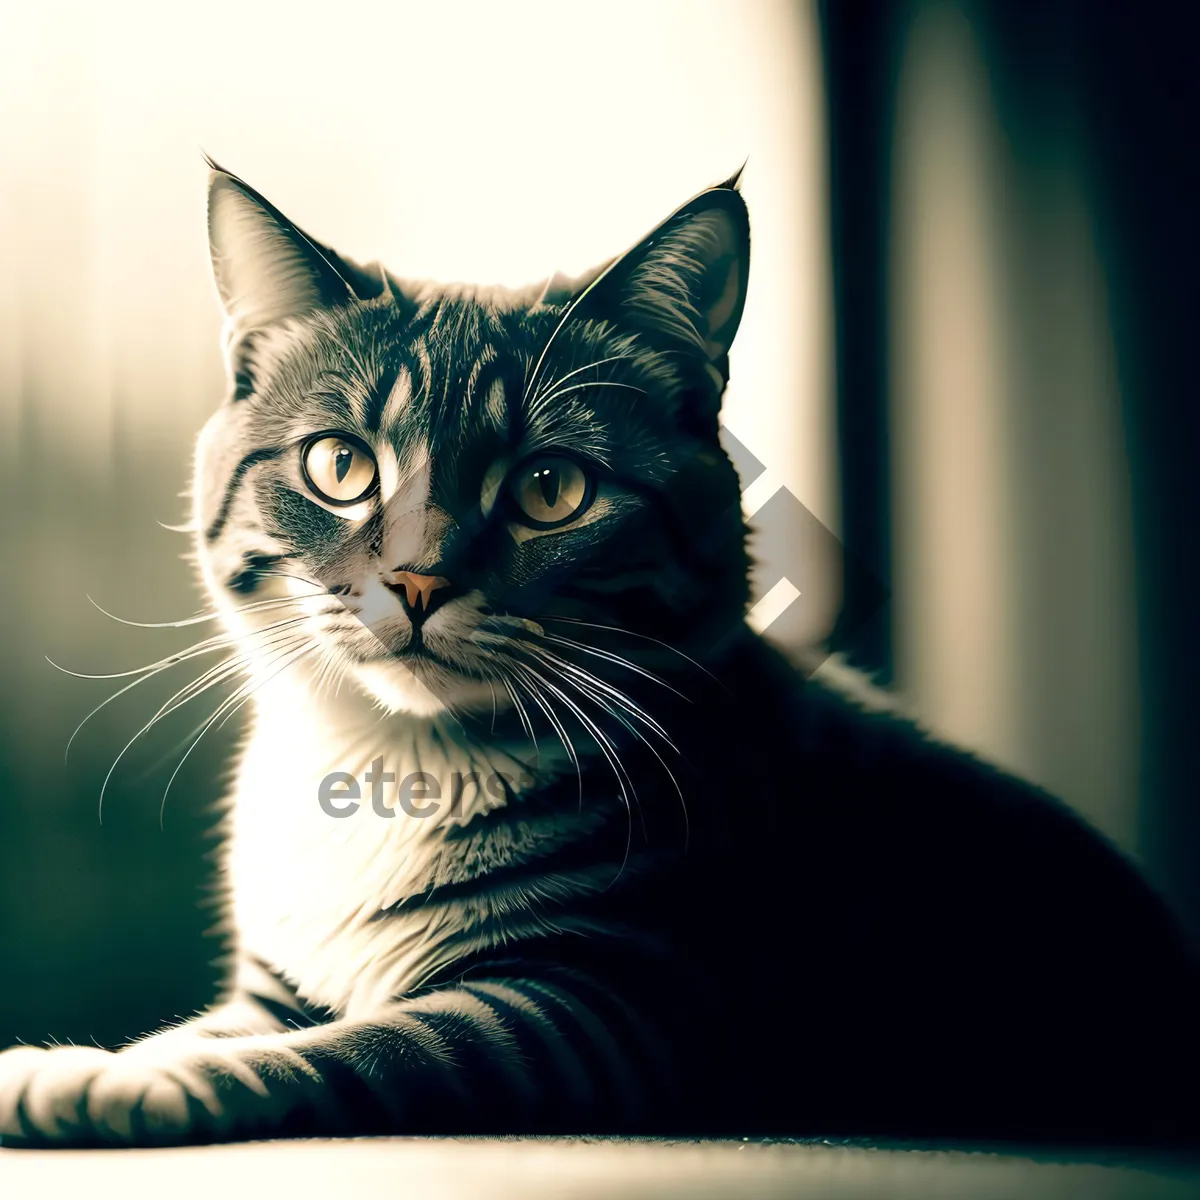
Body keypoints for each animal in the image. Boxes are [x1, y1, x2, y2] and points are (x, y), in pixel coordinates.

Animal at [2, 164, 1200, 1147]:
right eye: (340, 466)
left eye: (551, 488)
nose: (419, 581)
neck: (390, 767)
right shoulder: (274, 986)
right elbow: (202, 1030)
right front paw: (96, 1062)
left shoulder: (577, 1003)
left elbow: (347, 1050)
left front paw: (116, 1083)